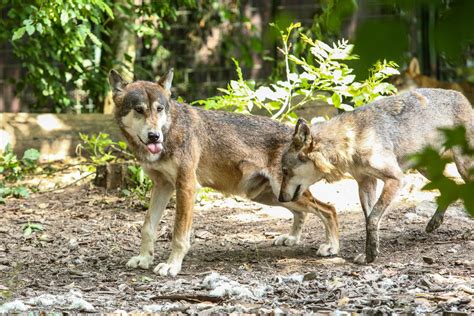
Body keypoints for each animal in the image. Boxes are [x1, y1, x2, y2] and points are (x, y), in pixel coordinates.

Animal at [109, 69, 340, 276]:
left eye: (159, 109)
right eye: (139, 110)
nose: (154, 136)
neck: (172, 130)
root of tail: (294, 134)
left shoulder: (186, 187)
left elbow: (178, 235)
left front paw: (171, 266)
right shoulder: (162, 186)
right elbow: (147, 227)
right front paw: (144, 259)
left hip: (282, 194)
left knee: (329, 209)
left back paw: (332, 247)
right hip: (275, 196)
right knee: (303, 212)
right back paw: (291, 239)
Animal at [280, 89, 472, 264]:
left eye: (285, 171)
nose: (280, 198)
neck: (352, 139)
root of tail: (460, 94)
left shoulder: (396, 179)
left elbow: (372, 218)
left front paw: (371, 254)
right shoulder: (366, 183)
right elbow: (369, 218)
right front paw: (369, 253)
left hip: (462, 166)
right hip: (426, 169)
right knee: (452, 184)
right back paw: (435, 221)